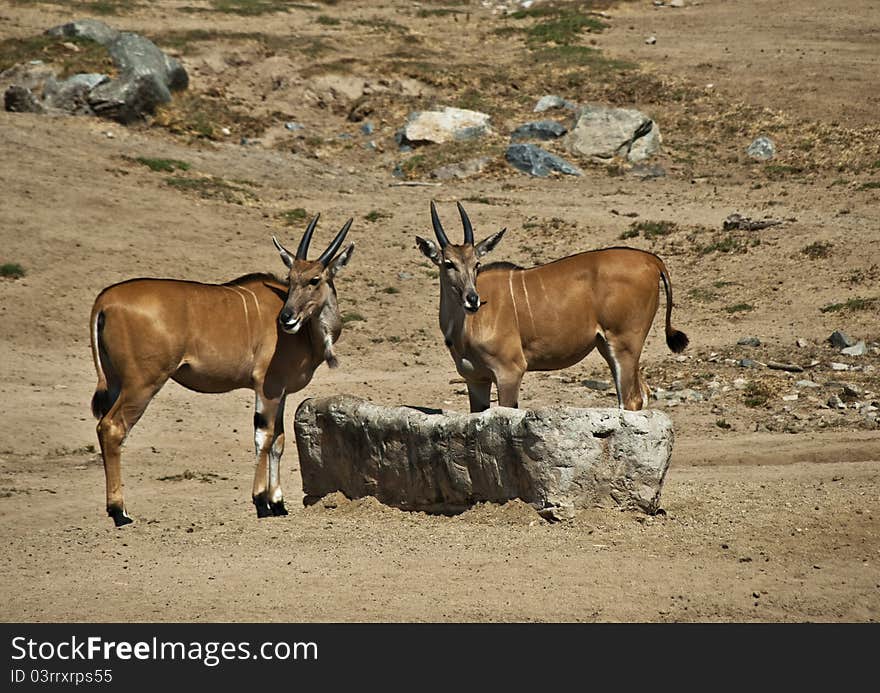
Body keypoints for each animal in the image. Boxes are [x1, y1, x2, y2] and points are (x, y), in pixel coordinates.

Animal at [87, 215, 352, 524]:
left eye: (314, 279)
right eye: (291, 278)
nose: (286, 318)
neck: (306, 333)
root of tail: (105, 300)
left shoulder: (282, 391)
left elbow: (279, 440)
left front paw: (279, 503)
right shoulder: (268, 386)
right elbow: (263, 438)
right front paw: (262, 503)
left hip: (116, 382)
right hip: (142, 384)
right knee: (112, 427)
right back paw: (120, 512)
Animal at [416, 203, 692, 414]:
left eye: (477, 263)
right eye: (449, 263)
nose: (472, 299)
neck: (467, 326)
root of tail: (652, 260)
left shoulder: (510, 371)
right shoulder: (476, 379)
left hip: (624, 344)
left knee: (631, 400)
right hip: (609, 347)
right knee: (642, 394)